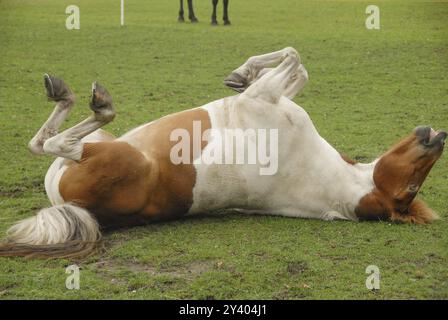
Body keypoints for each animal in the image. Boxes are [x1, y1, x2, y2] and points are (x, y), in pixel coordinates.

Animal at [0, 47, 444, 258]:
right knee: (44, 142)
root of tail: (74, 205)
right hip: (107, 143)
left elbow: (294, 57)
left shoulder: (263, 97)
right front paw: (241, 73)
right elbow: (300, 67)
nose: (437, 137)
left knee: (54, 143)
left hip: (107, 155)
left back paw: (89, 98)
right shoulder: (273, 95)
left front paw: (240, 73)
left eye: (409, 190)